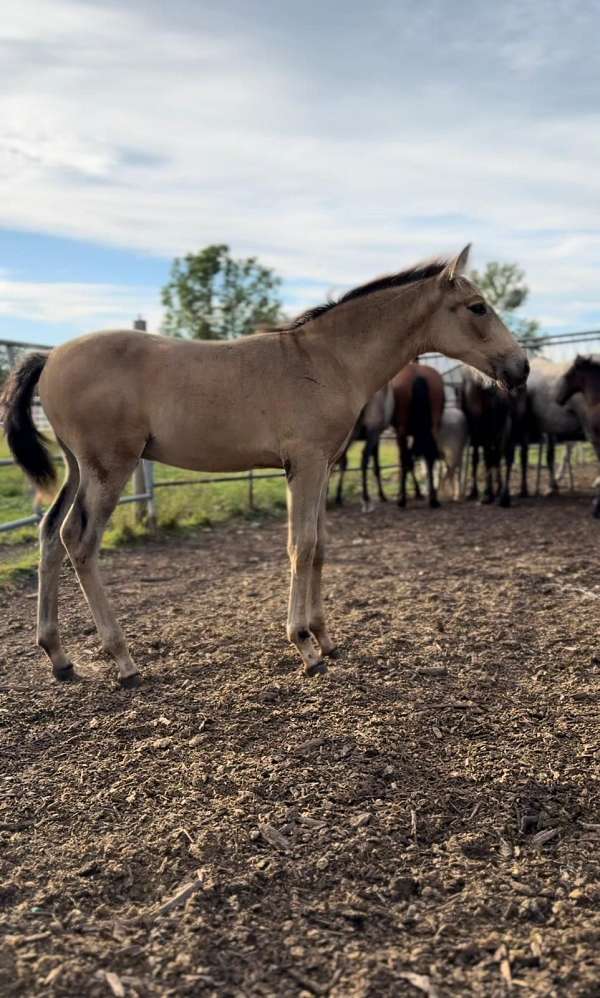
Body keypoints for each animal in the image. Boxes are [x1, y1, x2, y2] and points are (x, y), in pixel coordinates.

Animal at [390, 364, 446, 508]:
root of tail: (418, 375)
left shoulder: (401, 432)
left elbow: (407, 461)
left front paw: (416, 493)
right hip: (433, 428)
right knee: (430, 457)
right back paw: (433, 499)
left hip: (402, 430)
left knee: (406, 459)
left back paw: (402, 500)